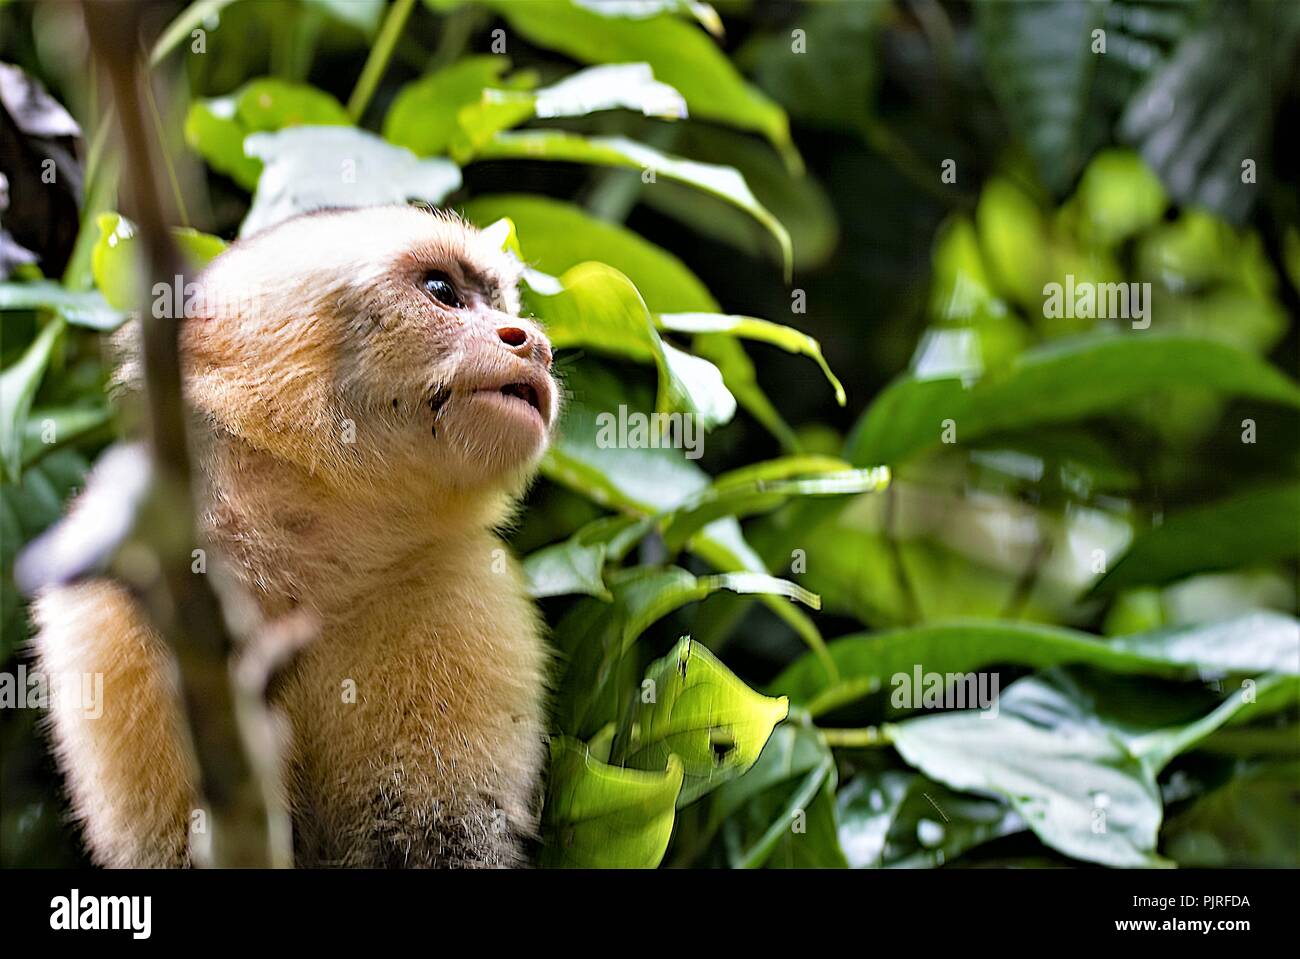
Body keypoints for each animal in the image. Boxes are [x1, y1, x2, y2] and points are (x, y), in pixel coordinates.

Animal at [29, 205, 559, 862]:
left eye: (500, 305)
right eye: (443, 292)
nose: (534, 344)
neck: (299, 559)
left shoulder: (457, 587)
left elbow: (438, 838)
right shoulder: (111, 613)